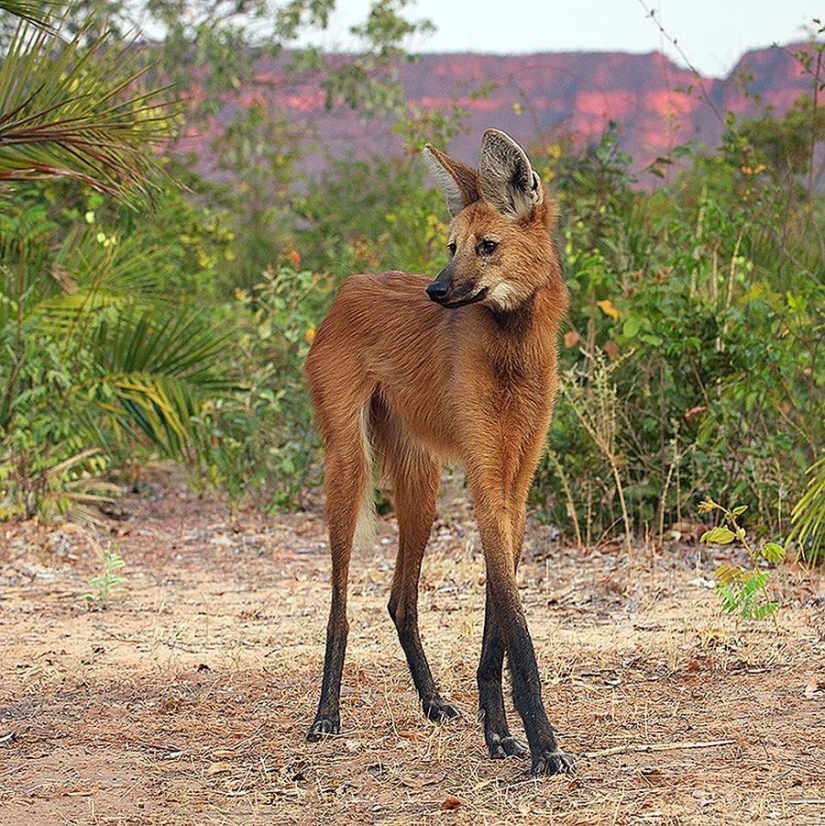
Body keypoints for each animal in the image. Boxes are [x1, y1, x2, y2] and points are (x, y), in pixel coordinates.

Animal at [302, 129, 572, 772]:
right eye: (451, 246)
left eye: (487, 246)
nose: (437, 289)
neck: (514, 350)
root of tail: (348, 286)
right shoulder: (485, 478)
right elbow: (518, 628)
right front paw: (542, 746)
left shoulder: (515, 486)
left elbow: (499, 620)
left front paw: (500, 734)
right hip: (349, 468)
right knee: (340, 604)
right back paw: (326, 716)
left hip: (420, 487)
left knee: (400, 600)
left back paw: (432, 701)